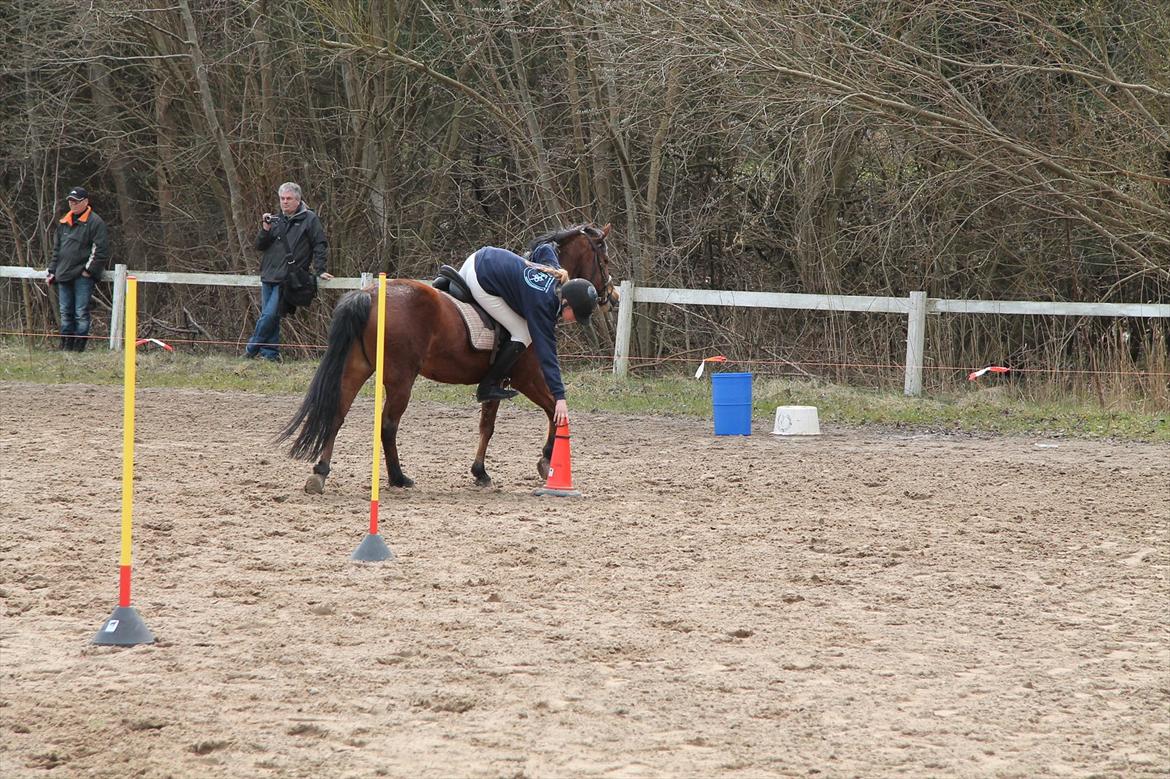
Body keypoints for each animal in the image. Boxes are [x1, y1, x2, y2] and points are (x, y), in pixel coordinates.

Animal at [277, 223, 616, 494]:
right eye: (605, 260)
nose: (611, 297)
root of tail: (369, 294)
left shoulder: (497, 381)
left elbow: (487, 425)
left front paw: (480, 472)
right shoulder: (527, 376)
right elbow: (552, 408)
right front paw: (546, 459)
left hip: (357, 366)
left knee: (336, 414)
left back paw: (320, 473)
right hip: (400, 379)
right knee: (388, 425)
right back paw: (398, 478)